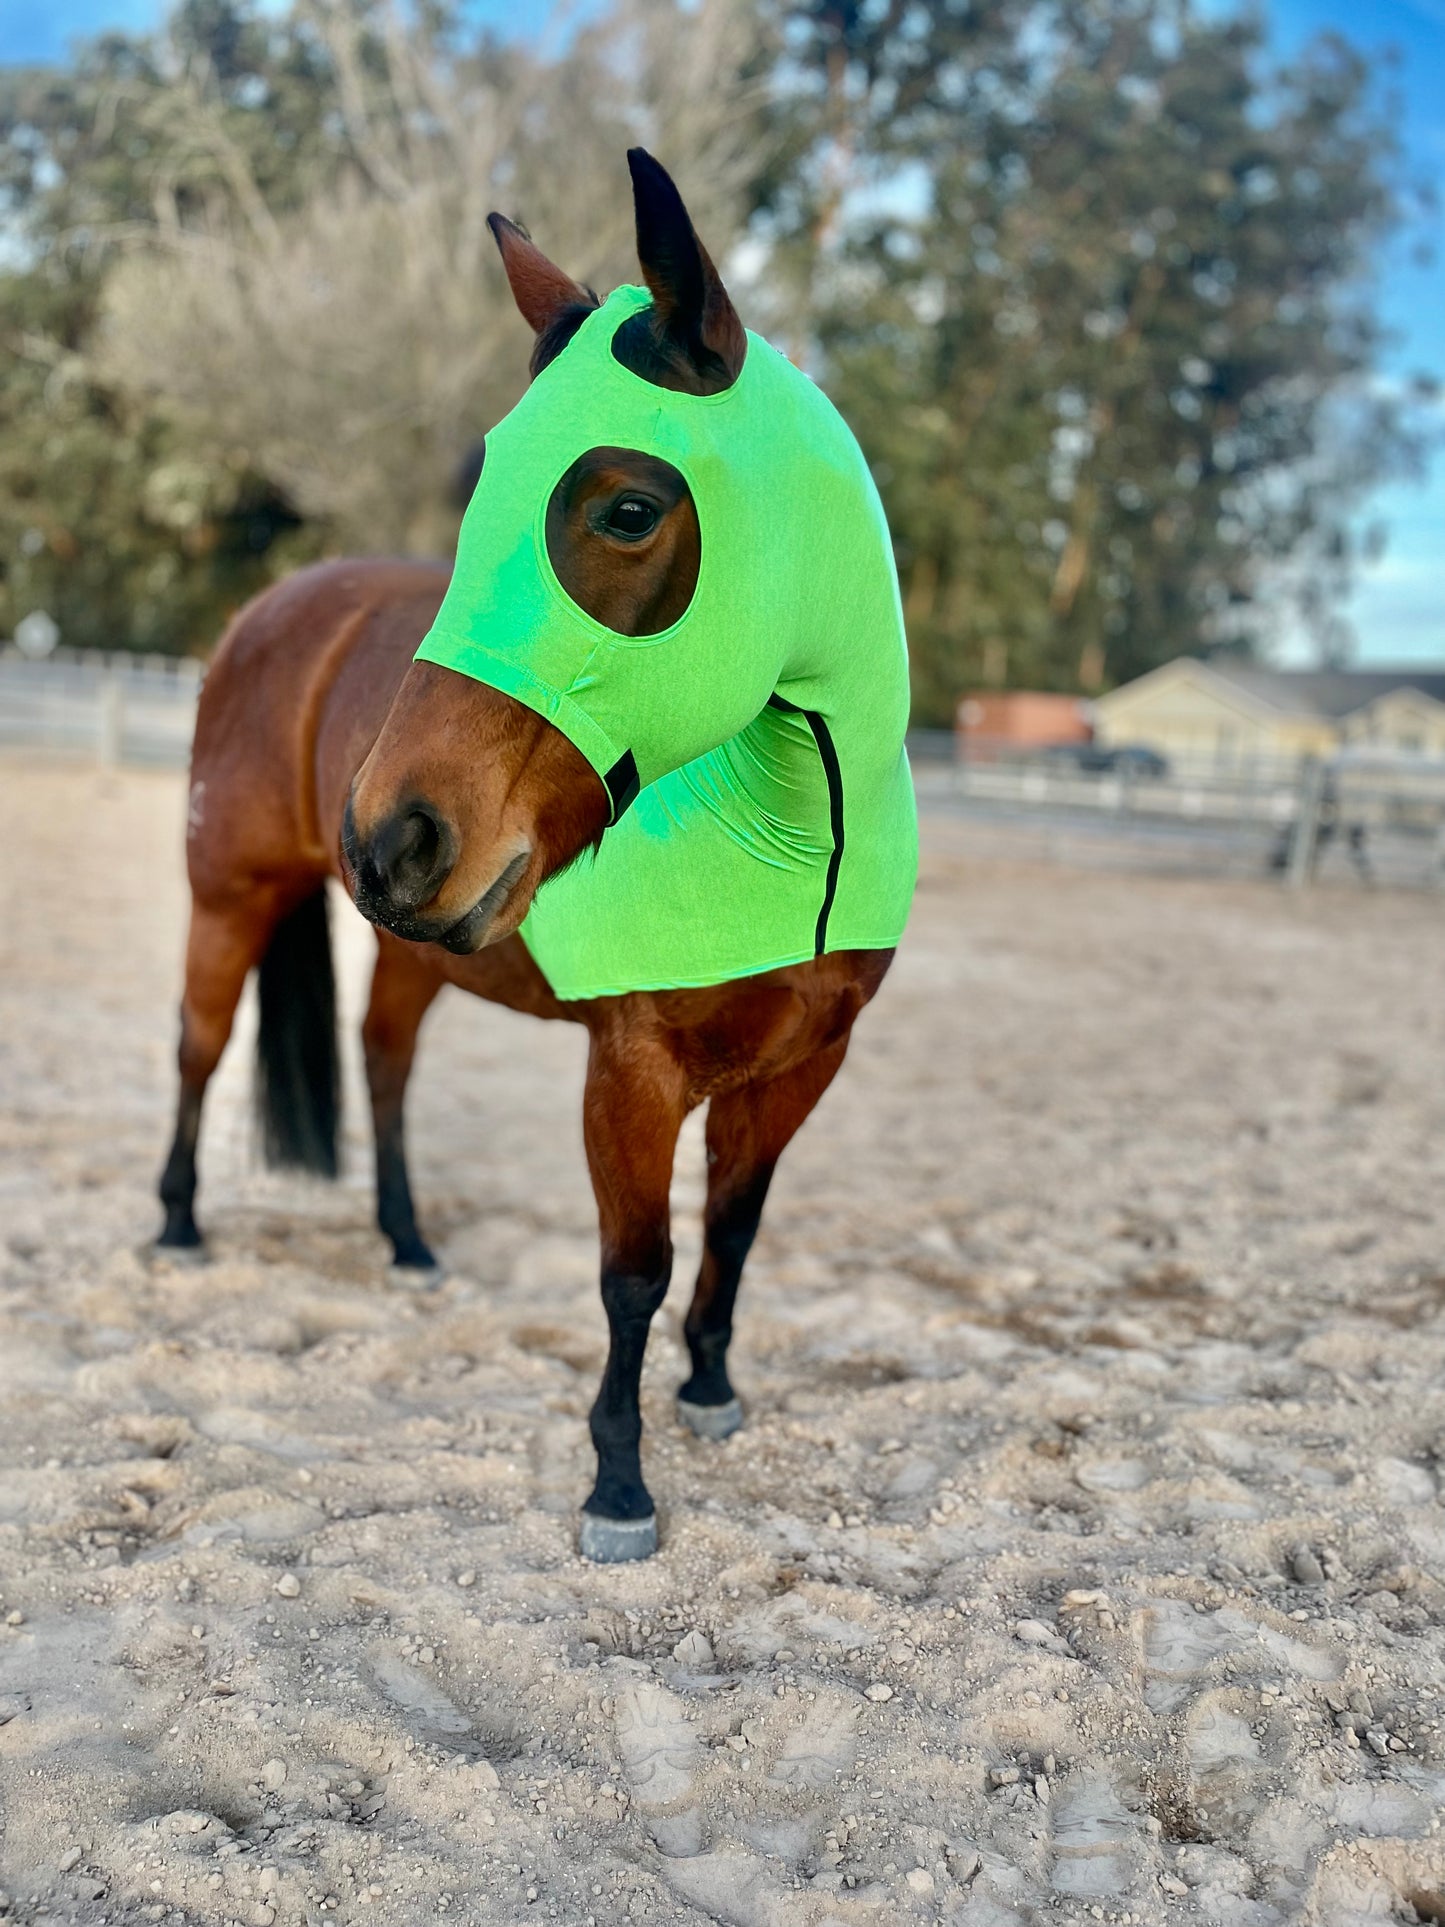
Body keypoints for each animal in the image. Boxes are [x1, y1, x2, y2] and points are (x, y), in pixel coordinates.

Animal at [153, 154, 909, 1564]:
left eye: (627, 507)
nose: (387, 830)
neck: (796, 826)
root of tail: (279, 607)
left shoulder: (802, 1066)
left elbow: (734, 1228)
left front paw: (709, 1388)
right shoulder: (635, 1071)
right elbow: (632, 1270)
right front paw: (617, 1487)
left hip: (409, 943)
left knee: (382, 1062)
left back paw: (406, 1244)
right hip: (231, 896)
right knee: (199, 1047)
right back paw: (175, 1226)